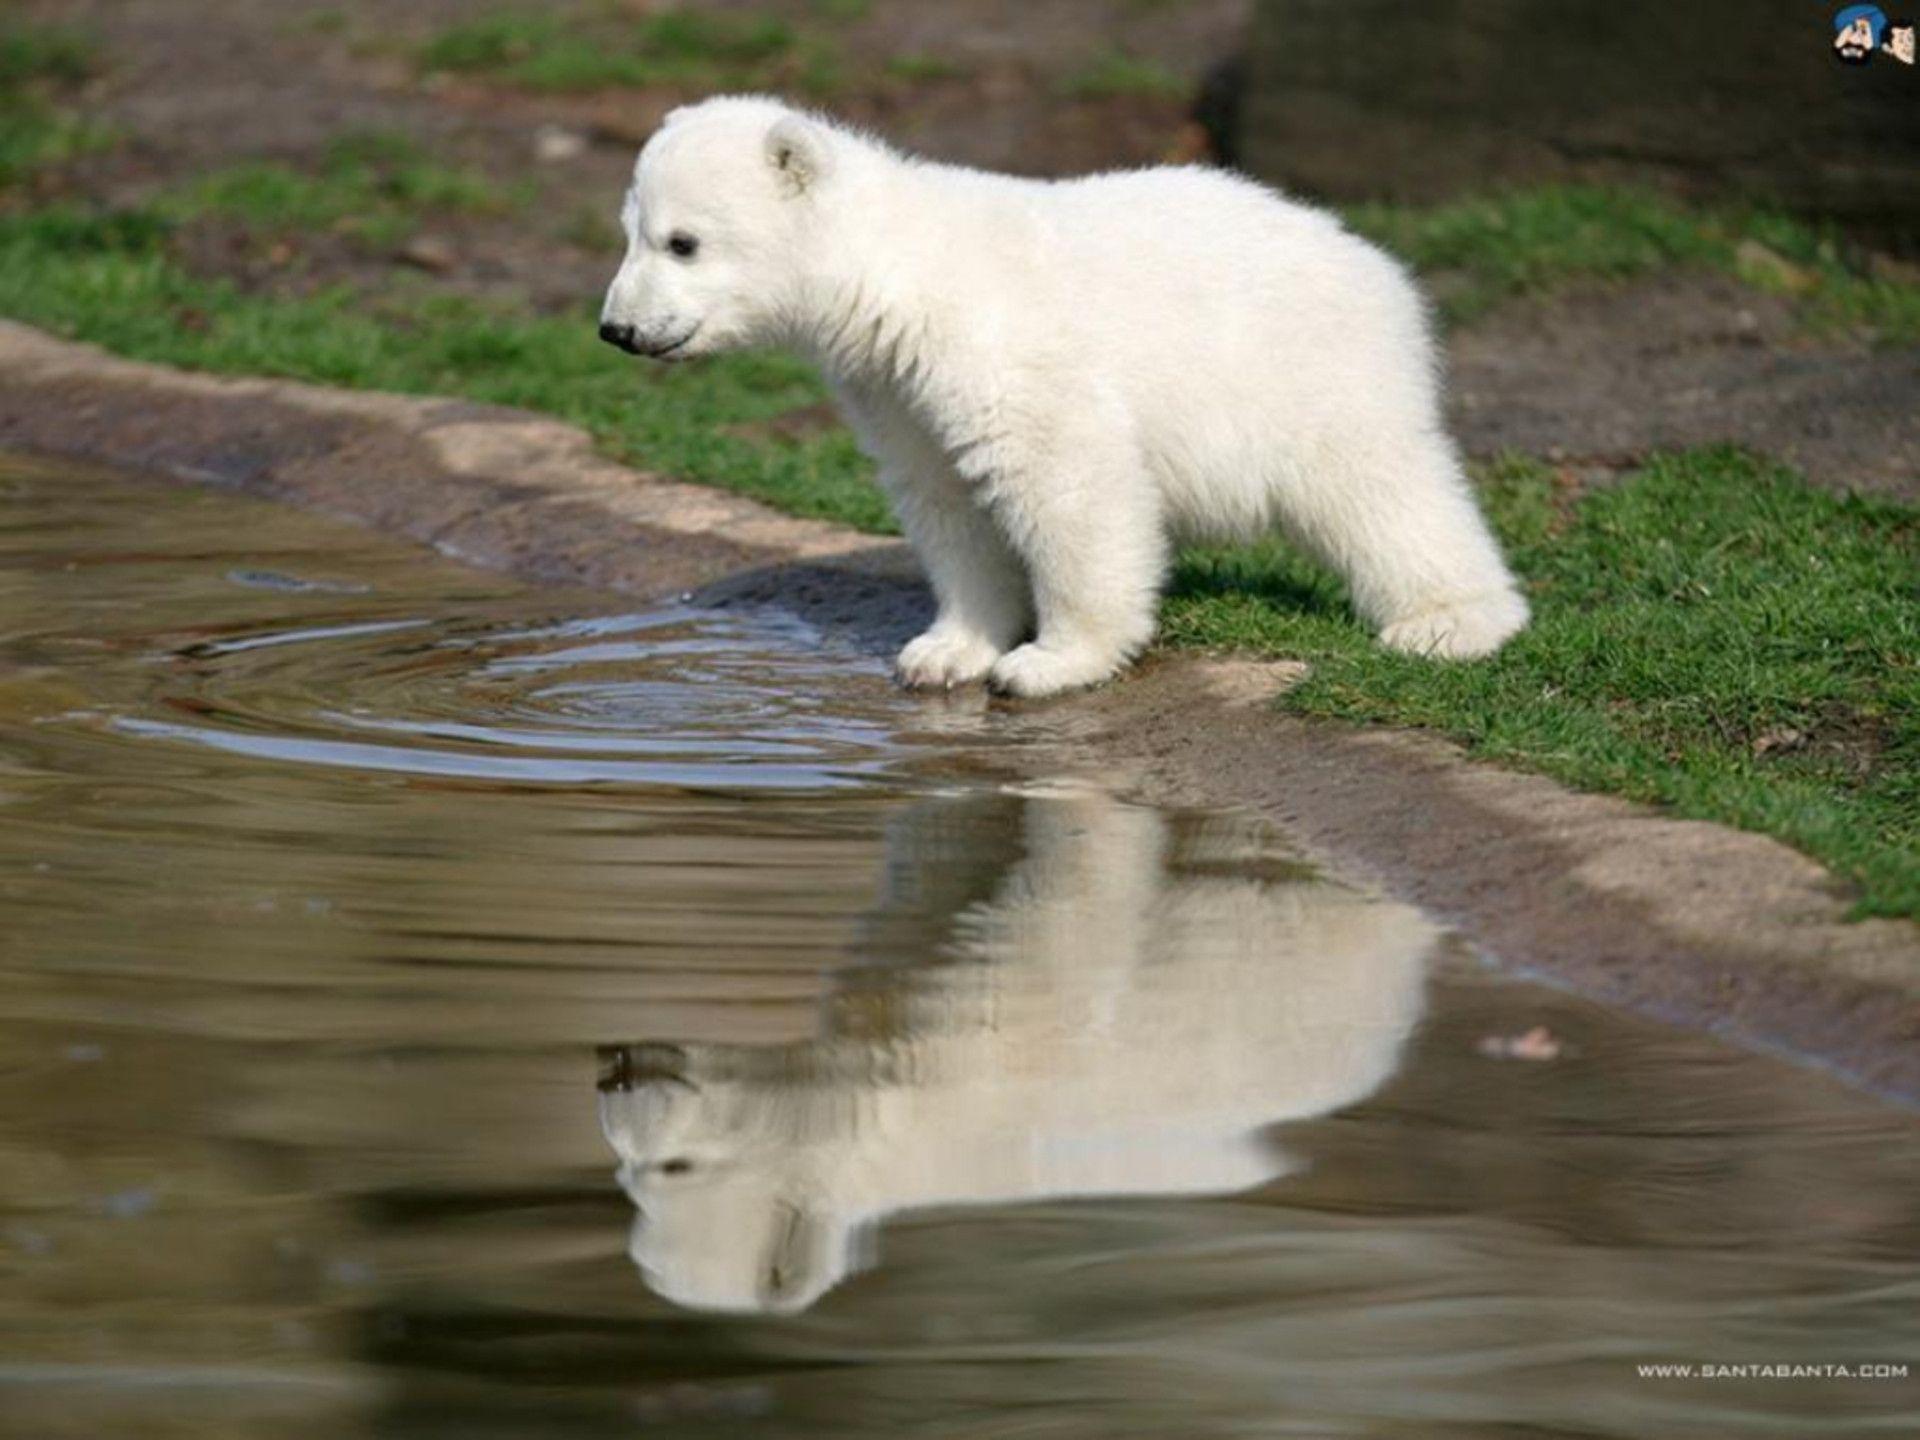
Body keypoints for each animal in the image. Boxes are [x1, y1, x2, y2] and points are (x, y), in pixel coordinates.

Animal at [598, 96, 1528, 697]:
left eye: (683, 242)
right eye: (630, 232)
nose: (617, 329)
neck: (891, 271)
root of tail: (1375, 262)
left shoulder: (998, 347)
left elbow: (1066, 483)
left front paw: (1052, 661)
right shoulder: (893, 386)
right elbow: (946, 499)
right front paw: (943, 651)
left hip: (1309, 365)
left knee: (1379, 489)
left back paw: (1449, 623)